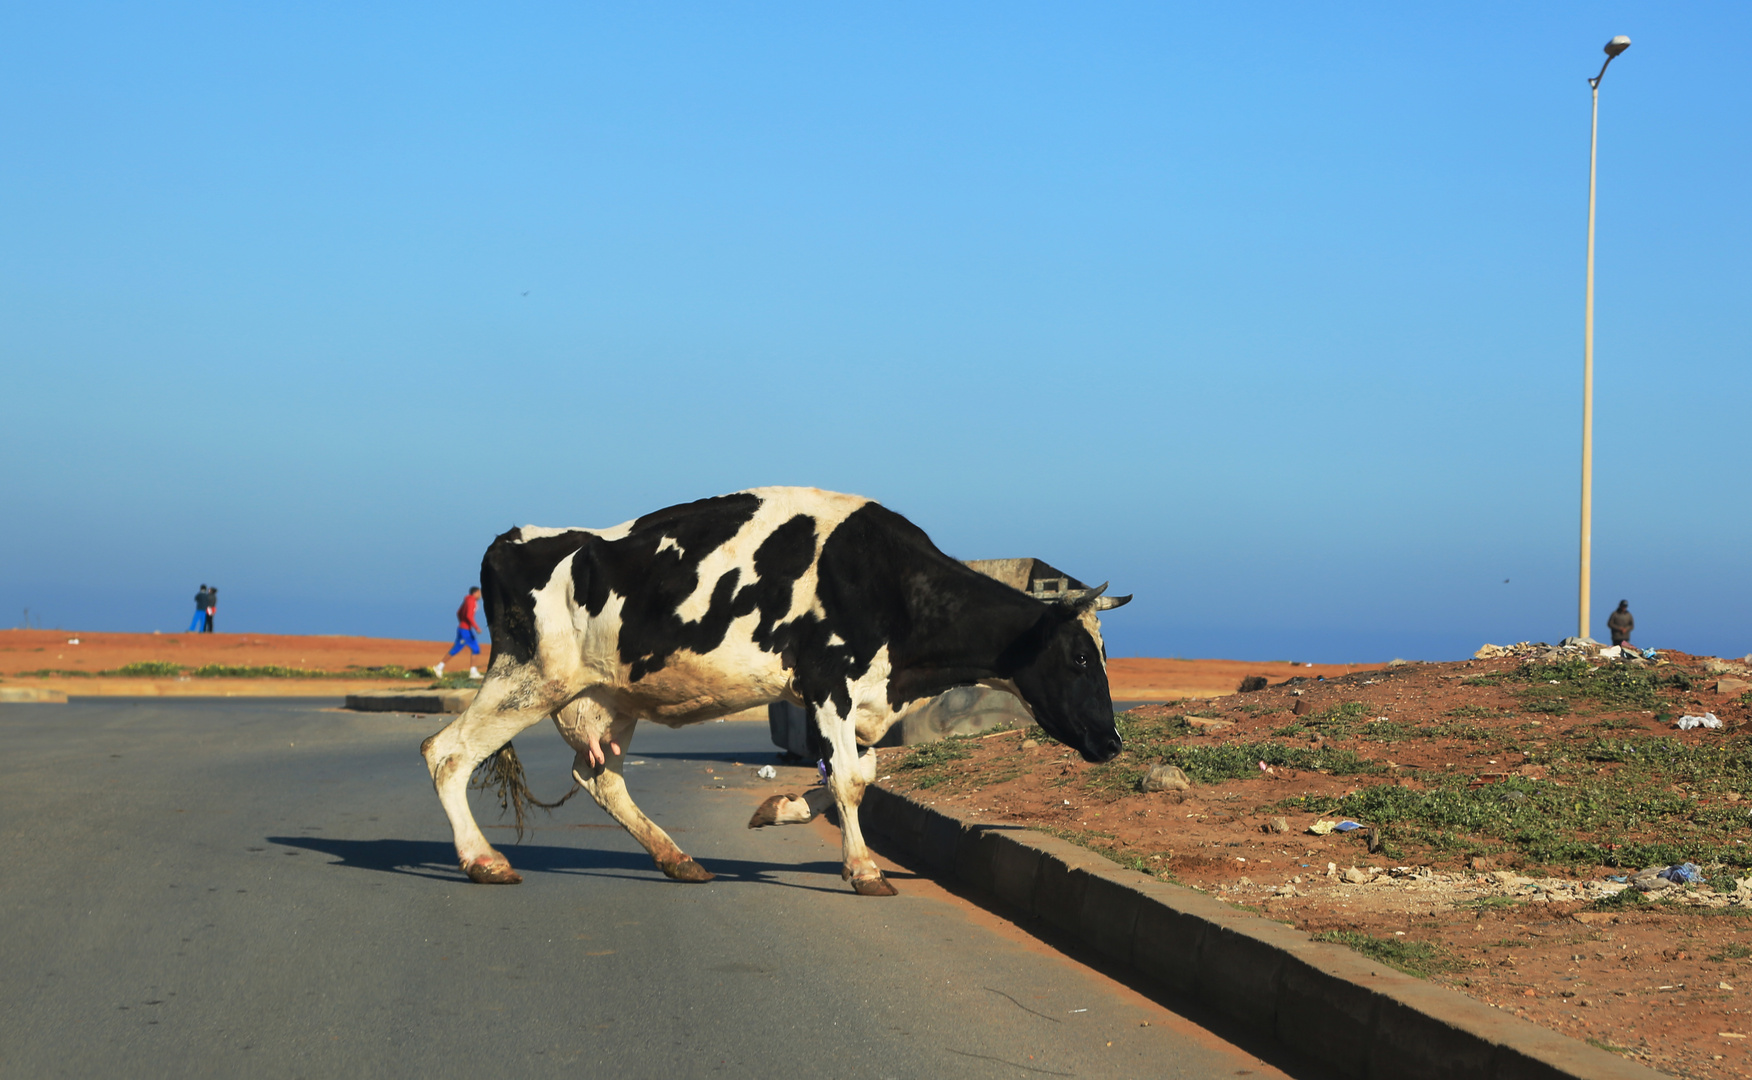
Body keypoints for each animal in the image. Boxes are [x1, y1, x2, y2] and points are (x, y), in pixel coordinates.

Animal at [425, 487, 1135, 894]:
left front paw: (780, 808)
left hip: (604, 698)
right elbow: (849, 781)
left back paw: (677, 858)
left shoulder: (857, 701)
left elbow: (855, 776)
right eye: (1078, 656)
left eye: (1105, 654)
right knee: (448, 753)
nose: (1111, 741)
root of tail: (515, 538)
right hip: (531, 678)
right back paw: (483, 861)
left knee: (600, 778)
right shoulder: (828, 684)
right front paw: (864, 870)